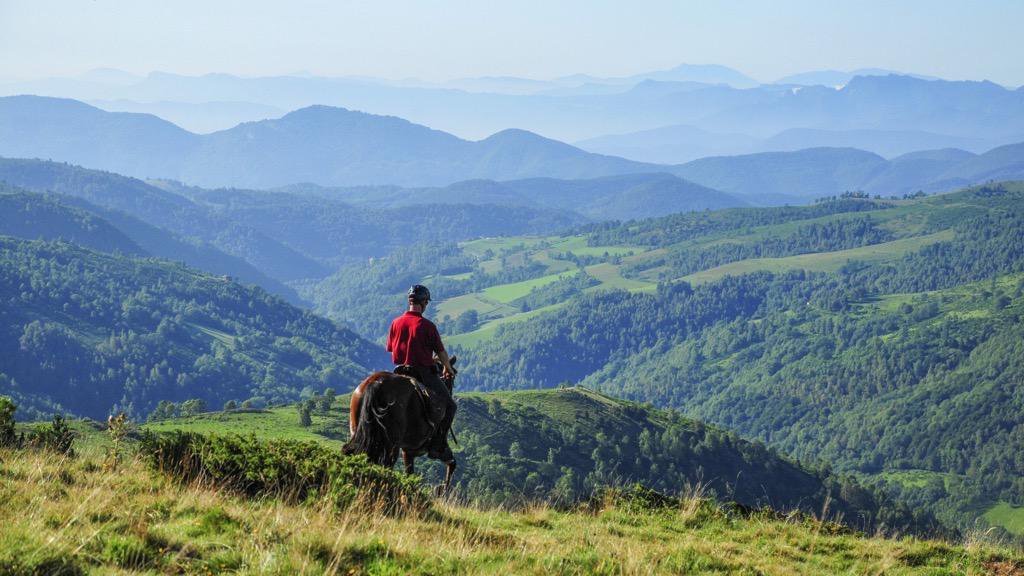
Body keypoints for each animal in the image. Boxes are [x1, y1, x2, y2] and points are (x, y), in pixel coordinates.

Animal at [342, 356, 458, 491]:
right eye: (452, 375)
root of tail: (376, 383)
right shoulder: (437, 450)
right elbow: (452, 463)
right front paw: (443, 489)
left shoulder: (408, 452)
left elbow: (410, 474)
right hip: (391, 444)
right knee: (386, 464)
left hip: (359, 430)